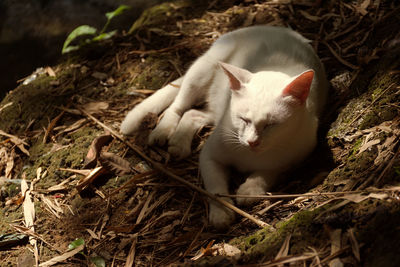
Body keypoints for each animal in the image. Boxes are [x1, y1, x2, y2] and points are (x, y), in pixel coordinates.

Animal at [120, 26, 326, 229]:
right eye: (243, 119)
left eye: (271, 125)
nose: (252, 142)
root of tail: (272, 27)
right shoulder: (209, 154)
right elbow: (215, 187)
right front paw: (221, 213)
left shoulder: (298, 155)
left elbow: (270, 171)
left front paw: (249, 189)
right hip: (201, 74)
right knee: (178, 106)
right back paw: (164, 131)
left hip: (217, 106)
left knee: (193, 114)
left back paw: (179, 142)